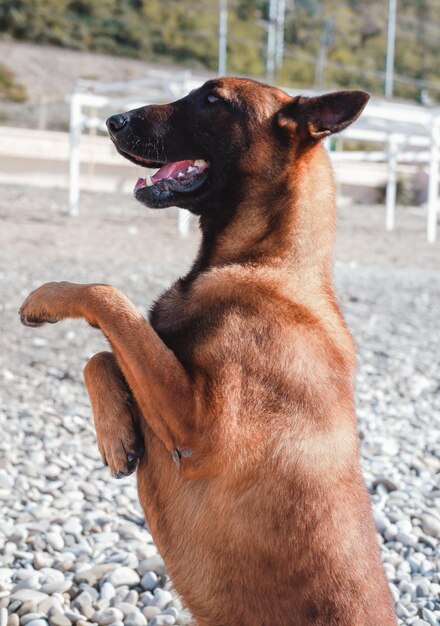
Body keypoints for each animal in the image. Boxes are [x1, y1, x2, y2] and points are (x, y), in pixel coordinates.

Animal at [18, 78, 398, 624]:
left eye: (213, 100)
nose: (112, 120)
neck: (265, 261)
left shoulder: (199, 427)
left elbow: (109, 298)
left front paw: (46, 295)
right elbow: (105, 352)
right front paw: (116, 431)